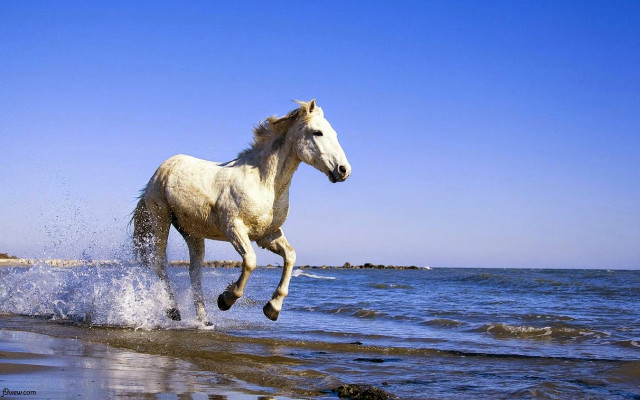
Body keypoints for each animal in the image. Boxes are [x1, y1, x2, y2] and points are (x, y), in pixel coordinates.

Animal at [132, 99, 351, 325]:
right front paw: (225, 300)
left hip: (192, 233)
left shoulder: (267, 235)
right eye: (318, 132)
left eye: (334, 133)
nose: (343, 170)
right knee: (160, 263)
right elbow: (250, 261)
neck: (263, 182)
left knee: (194, 272)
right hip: (161, 219)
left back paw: (205, 320)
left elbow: (290, 256)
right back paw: (173, 311)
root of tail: (162, 170)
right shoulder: (234, 228)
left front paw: (273, 308)